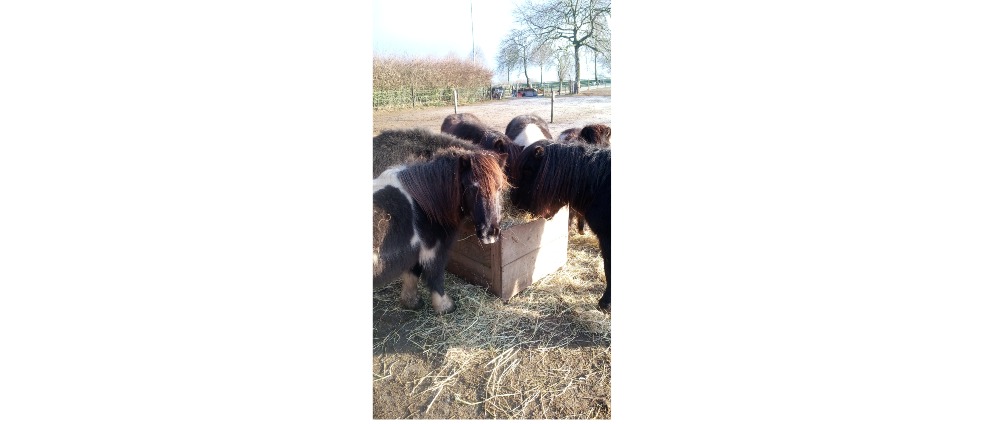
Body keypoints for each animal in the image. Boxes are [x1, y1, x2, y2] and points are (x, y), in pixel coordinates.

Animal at [373, 145, 509, 314]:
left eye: (499, 188)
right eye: (472, 187)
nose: (490, 233)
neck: (424, 204)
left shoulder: (416, 250)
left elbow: (412, 274)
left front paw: (411, 302)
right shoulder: (433, 251)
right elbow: (435, 277)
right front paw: (445, 307)